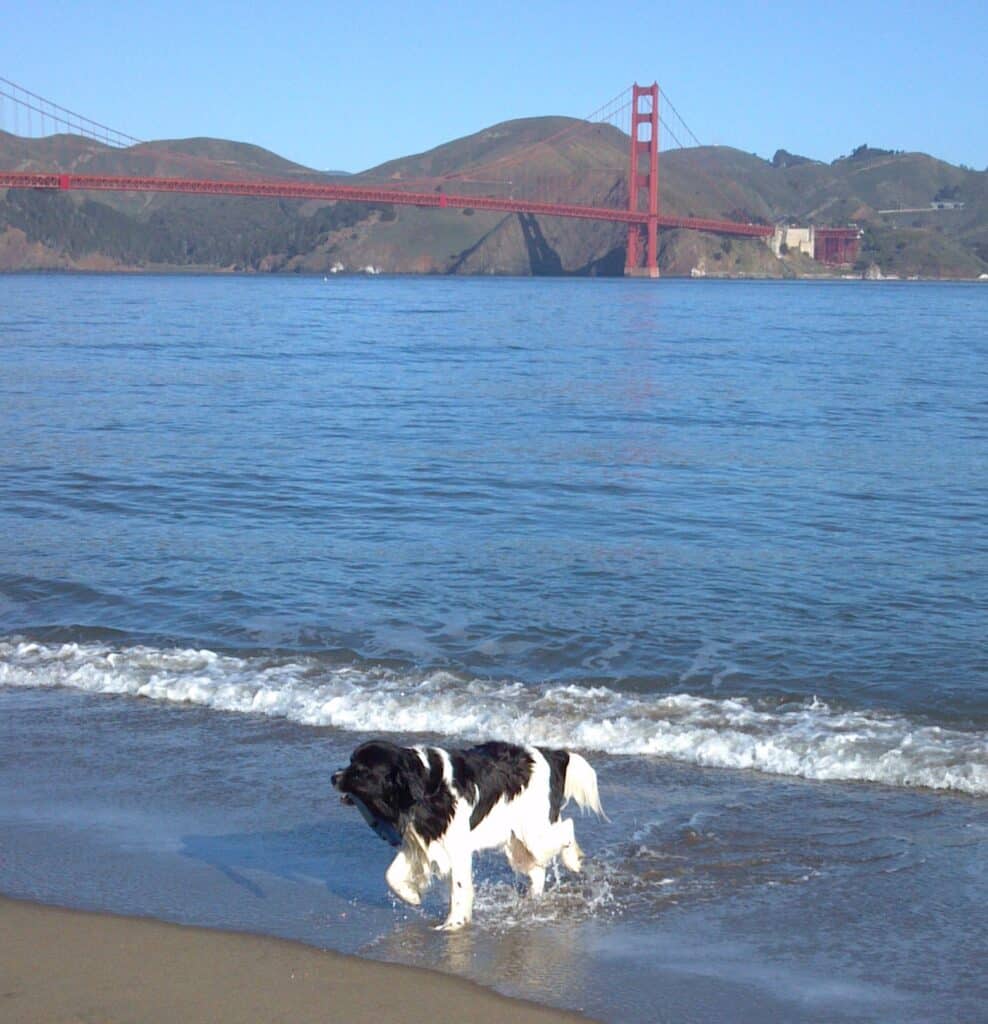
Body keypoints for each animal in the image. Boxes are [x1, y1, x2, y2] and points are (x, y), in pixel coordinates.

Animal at [331, 741, 602, 933]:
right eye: (350, 762)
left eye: (360, 771)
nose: (333, 777)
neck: (425, 785)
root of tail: (553, 755)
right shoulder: (421, 842)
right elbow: (391, 875)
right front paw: (413, 896)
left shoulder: (456, 848)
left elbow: (459, 889)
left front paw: (453, 924)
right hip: (518, 841)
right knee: (537, 869)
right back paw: (531, 901)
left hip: (533, 831)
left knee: (566, 828)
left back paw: (573, 859)